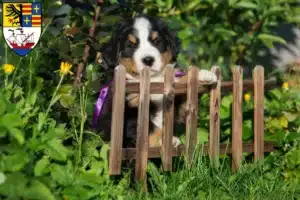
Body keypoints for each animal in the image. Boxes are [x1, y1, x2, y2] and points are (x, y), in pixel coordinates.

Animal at [97, 14, 217, 148]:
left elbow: (183, 84)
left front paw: (203, 74)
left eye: (157, 41)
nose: (148, 60)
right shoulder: (128, 109)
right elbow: (150, 128)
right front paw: (165, 140)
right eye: (131, 45)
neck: (153, 79)